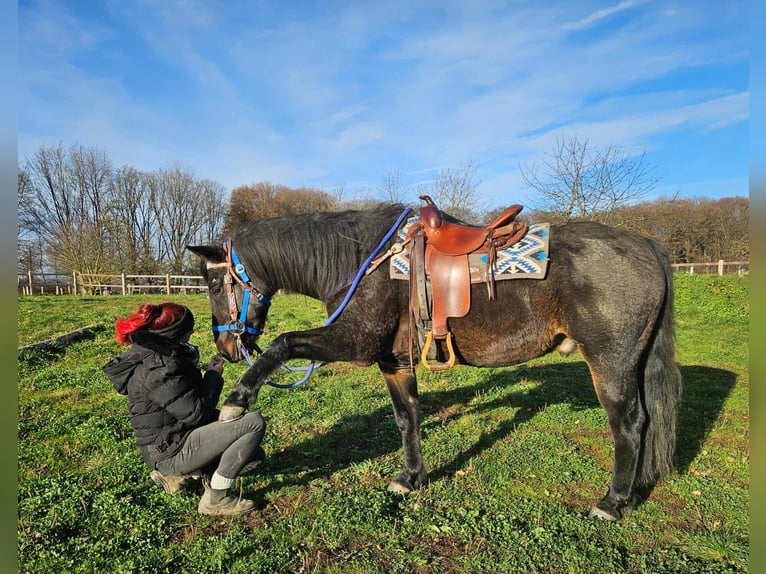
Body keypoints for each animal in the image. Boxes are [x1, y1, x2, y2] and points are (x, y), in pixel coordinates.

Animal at [187, 201, 682, 521]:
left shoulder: (355, 343)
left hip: (610, 362)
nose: (225, 348)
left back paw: (613, 502)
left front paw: (237, 399)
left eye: (212, 285)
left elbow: (284, 344)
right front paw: (411, 477)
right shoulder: (393, 361)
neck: (360, 261)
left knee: (629, 424)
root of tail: (647, 246)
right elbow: (407, 419)